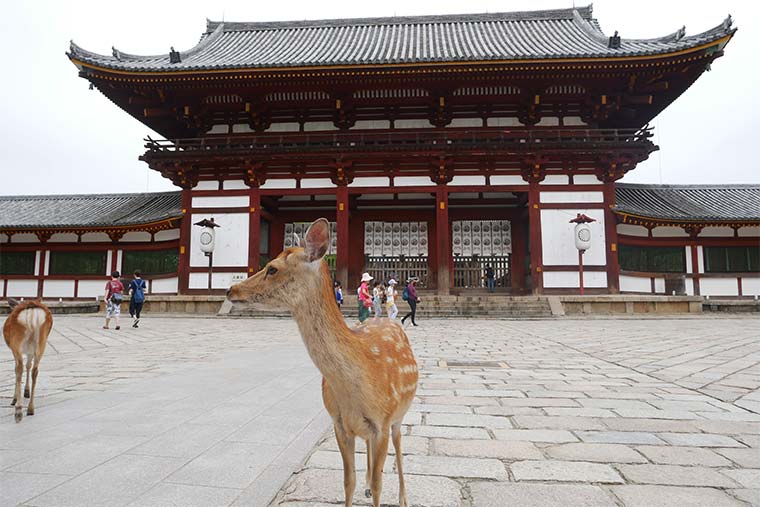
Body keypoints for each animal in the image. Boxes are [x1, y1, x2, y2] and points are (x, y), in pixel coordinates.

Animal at [227, 218, 418, 507]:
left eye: (272, 268)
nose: (231, 289)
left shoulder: (382, 422)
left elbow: (379, 485)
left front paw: (380, 491)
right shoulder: (338, 422)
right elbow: (348, 482)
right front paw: (359, 486)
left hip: (400, 414)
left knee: (398, 445)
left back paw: (403, 498)